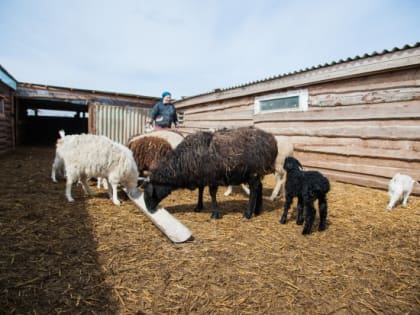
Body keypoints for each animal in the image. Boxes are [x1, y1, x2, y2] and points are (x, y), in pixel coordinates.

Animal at [143, 126, 278, 220]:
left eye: (149, 193)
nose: (149, 210)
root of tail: (271, 139)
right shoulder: (201, 176)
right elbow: (200, 190)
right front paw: (198, 207)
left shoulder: (213, 177)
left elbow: (212, 194)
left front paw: (214, 214)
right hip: (257, 173)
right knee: (259, 187)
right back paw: (257, 210)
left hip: (253, 173)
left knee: (254, 190)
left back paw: (248, 214)